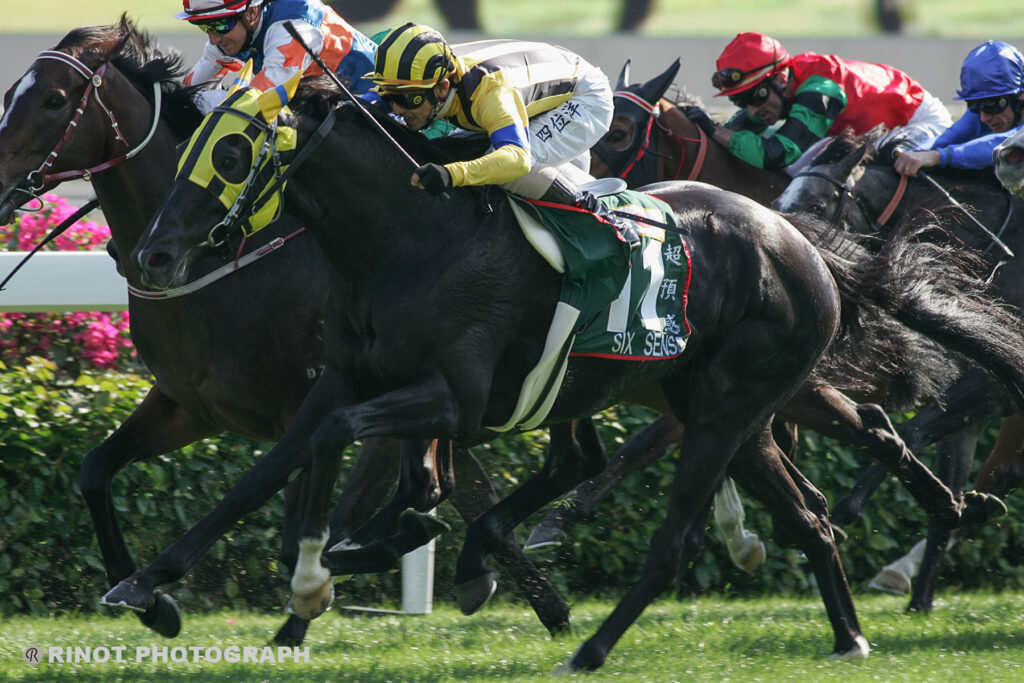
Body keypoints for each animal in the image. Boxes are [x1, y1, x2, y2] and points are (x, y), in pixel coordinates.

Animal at [0, 17, 573, 647]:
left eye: (54, 100)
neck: (222, 262)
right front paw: (154, 603)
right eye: (8, 97)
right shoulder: (190, 404)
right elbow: (95, 470)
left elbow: (287, 523)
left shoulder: (306, 401)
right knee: (437, 478)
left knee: (426, 481)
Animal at [770, 131, 1024, 610]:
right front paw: (920, 599)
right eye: (781, 198)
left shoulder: (991, 385)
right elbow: (950, 469)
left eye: (816, 205)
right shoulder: (974, 400)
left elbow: (910, 431)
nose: (788, 240)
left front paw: (845, 510)